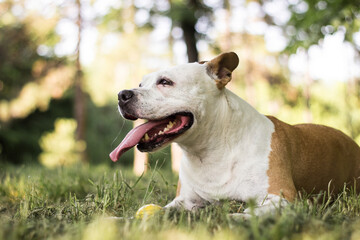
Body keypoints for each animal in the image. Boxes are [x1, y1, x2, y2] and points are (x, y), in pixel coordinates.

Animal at [109, 52, 360, 216]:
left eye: (165, 82)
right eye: (141, 83)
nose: (122, 94)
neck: (210, 151)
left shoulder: (282, 198)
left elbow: (244, 214)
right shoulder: (186, 200)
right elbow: (158, 210)